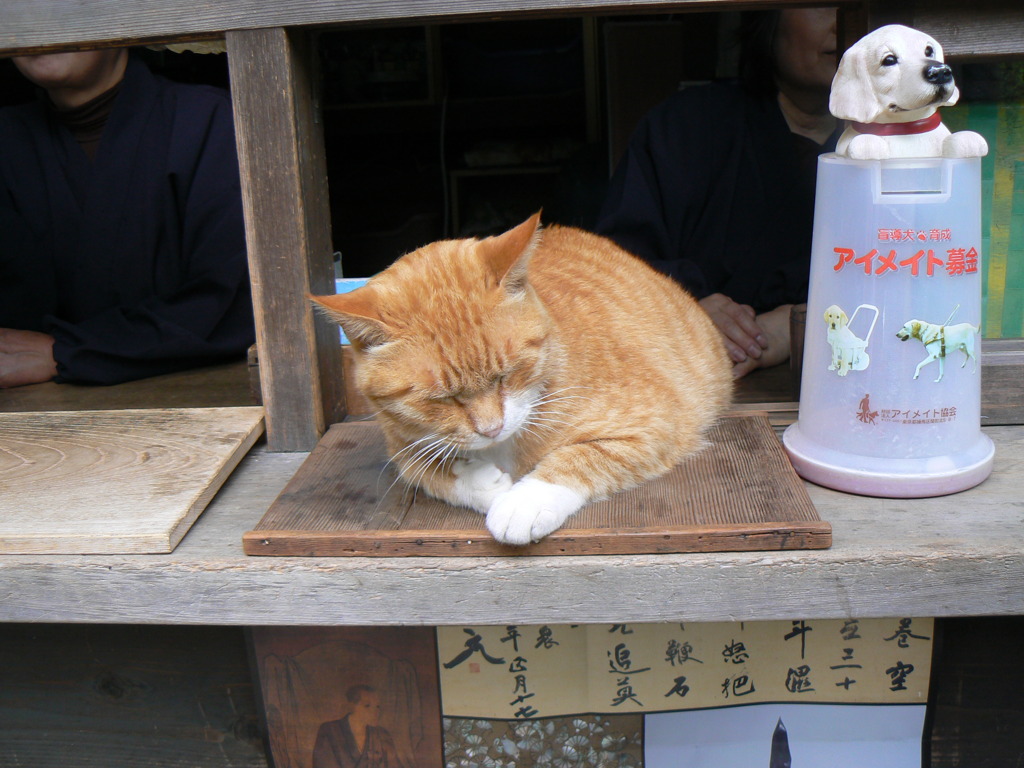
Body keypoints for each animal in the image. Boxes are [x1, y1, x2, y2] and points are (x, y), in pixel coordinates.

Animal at [307, 214, 733, 544]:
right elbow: (428, 473)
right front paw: (480, 481)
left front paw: (525, 501)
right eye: (442, 399)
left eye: (506, 374)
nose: (491, 429)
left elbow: (579, 457)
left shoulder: (655, 422)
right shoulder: (402, 447)